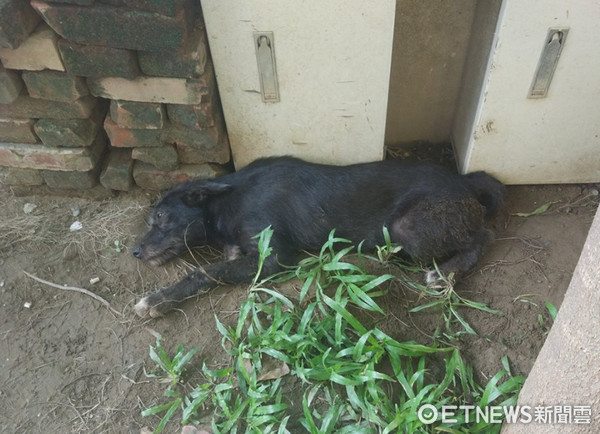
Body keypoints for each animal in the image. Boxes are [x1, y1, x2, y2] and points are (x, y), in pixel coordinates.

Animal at [132, 154, 502, 318]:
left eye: (161, 217)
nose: (135, 251)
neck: (228, 200)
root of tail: (465, 180)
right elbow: (223, 265)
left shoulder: (275, 258)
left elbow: (203, 271)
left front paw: (157, 300)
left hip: (410, 228)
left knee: (484, 236)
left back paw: (445, 274)